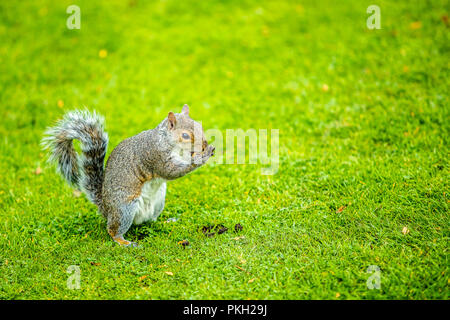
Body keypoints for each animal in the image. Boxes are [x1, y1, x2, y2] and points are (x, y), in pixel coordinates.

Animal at [42, 105, 216, 248]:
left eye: (200, 126)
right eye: (185, 136)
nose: (204, 144)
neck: (165, 139)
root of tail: (105, 208)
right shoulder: (154, 156)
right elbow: (171, 171)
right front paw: (203, 156)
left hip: (159, 201)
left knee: (151, 220)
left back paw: (166, 221)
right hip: (124, 208)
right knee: (112, 231)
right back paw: (124, 242)